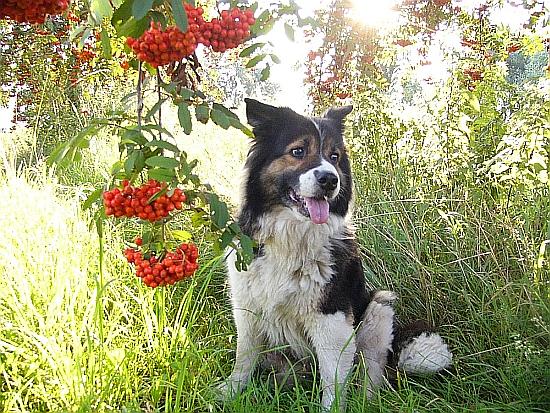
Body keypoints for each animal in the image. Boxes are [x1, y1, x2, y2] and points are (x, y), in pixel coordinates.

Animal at [222, 99, 454, 408]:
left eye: (334, 156)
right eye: (298, 151)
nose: (330, 180)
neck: (291, 238)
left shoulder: (330, 318)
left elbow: (333, 379)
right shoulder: (247, 307)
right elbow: (243, 358)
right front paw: (227, 393)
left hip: (379, 308)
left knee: (372, 375)